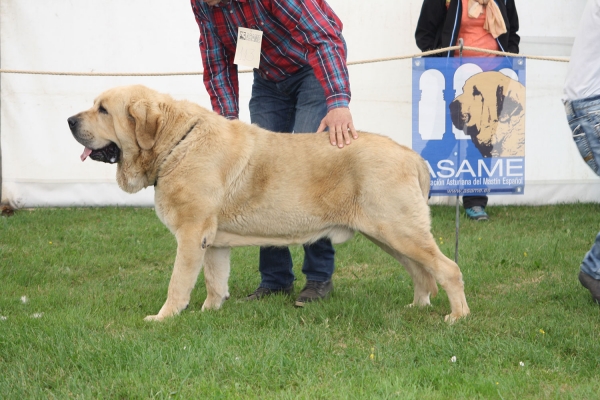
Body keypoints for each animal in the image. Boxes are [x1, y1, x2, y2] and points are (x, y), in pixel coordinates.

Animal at [67, 84, 468, 322]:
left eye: (103, 110)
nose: (70, 120)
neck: (175, 144)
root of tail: (411, 155)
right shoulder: (211, 241)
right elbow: (214, 281)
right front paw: (210, 311)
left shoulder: (191, 234)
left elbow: (178, 283)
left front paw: (165, 317)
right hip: (389, 235)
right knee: (421, 273)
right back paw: (416, 307)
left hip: (400, 230)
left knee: (447, 269)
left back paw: (457, 317)